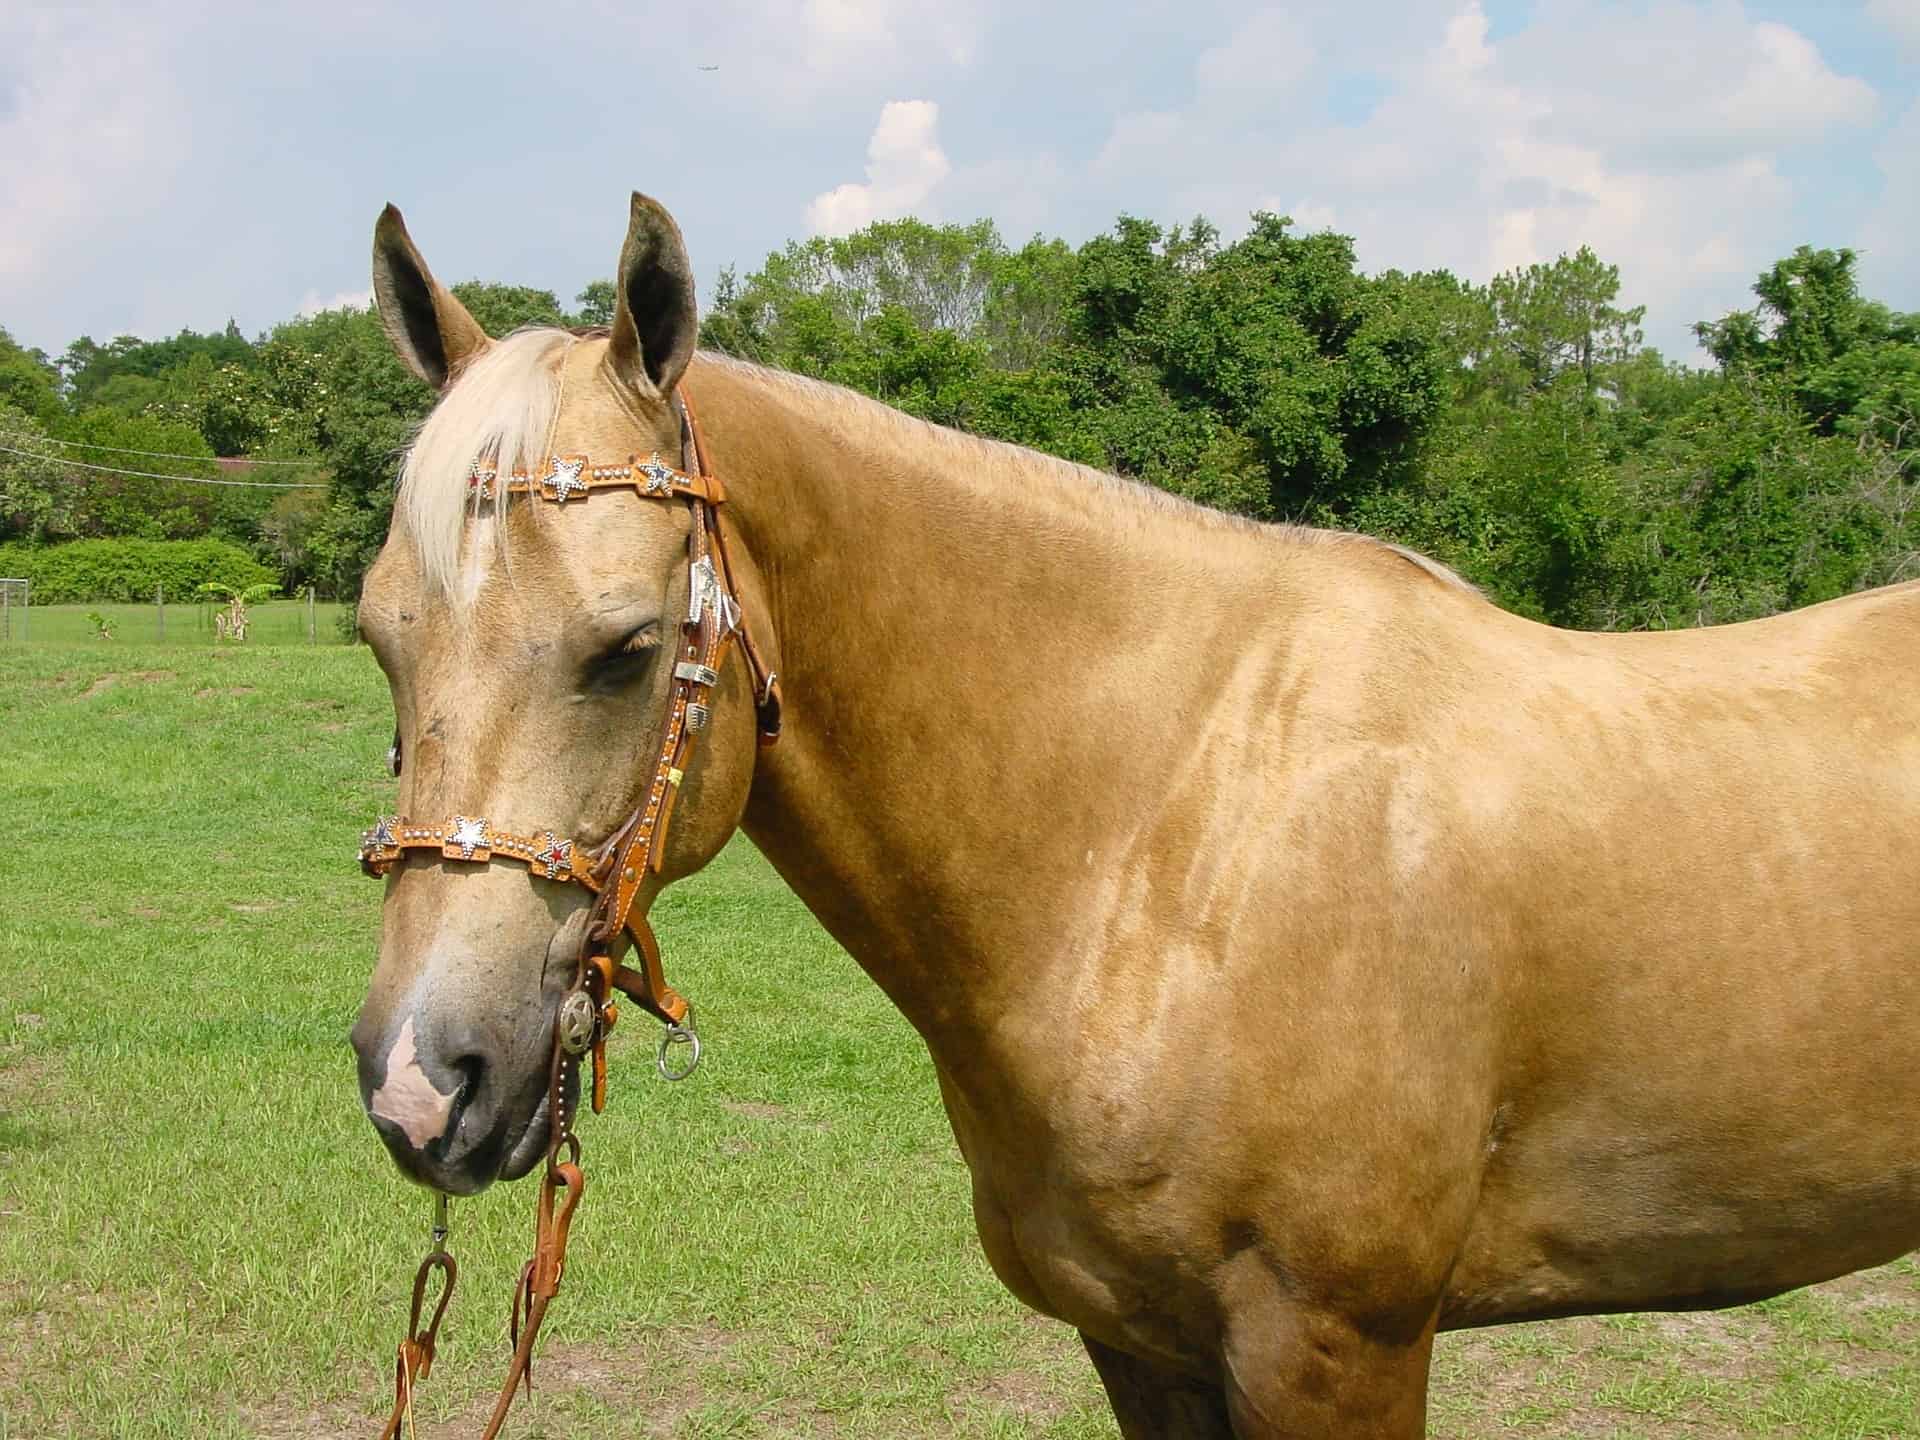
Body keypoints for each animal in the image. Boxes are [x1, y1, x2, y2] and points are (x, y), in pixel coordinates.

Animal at [353, 194, 1920, 1440]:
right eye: (380, 636)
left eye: (623, 649)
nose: (422, 1082)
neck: (1171, 829)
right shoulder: (1141, 1342)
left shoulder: (1334, 1347)